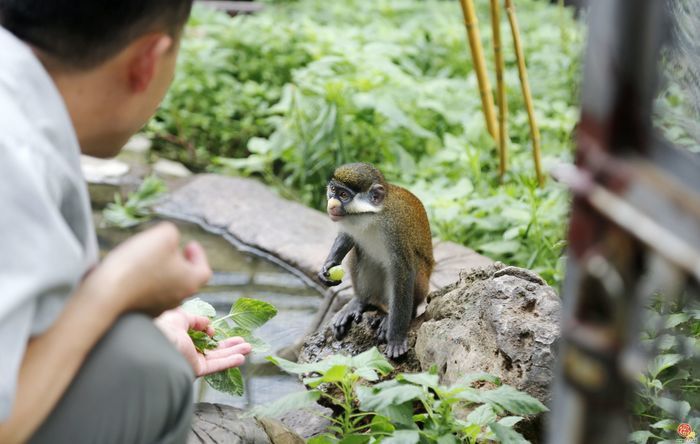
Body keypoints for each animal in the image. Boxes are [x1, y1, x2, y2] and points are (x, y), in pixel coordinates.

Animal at [320, 161, 434, 360]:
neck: (371, 216)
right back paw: (360, 301)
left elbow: (403, 271)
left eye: (344, 195)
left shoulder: (395, 229)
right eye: (333, 190)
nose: (331, 204)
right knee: (360, 252)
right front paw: (329, 265)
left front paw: (396, 338)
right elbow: (347, 237)